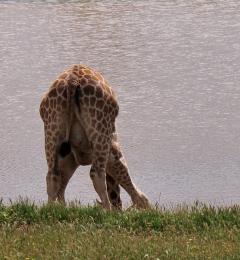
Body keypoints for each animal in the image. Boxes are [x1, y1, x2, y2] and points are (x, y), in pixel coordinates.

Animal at [39, 64, 150, 209]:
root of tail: (72, 82)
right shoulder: (112, 145)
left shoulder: (69, 156)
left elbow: (61, 185)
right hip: (100, 131)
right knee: (96, 174)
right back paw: (108, 211)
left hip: (52, 130)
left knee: (53, 176)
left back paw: (51, 209)